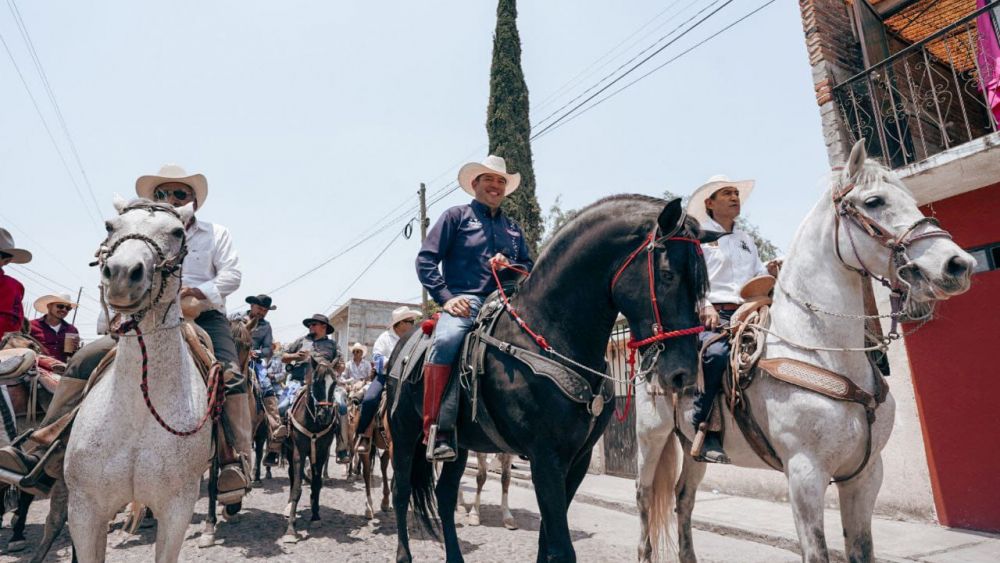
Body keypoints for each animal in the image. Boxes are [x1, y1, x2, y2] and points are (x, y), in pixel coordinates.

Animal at [65, 198, 215, 563]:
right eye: (110, 225)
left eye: (177, 232)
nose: (121, 273)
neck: (137, 413)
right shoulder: (84, 510)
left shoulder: (177, 510)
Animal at [386, 196, 708, 560]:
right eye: (667, 275)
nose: (683, 373)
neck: (551, 333)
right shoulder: (545, 458)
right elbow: (562, 547)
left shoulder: (577, 459)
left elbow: (548, 540)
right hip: (404, 433)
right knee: (400, 491)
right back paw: (403, 554)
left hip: (461, 444)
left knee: (444, 494)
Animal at [636, 142, 972, 563]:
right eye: (874, 201)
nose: (958, 264)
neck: (825, 350)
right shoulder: (805, 474)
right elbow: (817, 552)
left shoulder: (866, 475)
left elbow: (862, 549)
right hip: (651, 437)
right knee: (645, 498)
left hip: (689, 446)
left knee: (684, 498)